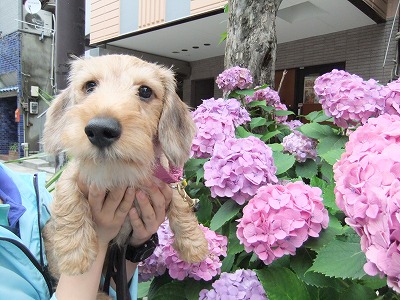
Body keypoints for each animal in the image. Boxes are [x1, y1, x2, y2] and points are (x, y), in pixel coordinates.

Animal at [41, 54, 208, 278]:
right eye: (90, 85)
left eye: (145, 91)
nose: (100, 130)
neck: (120, 170)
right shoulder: (73, 174)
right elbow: (69, 199)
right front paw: (75, 254)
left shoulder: (166, 182)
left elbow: (180, 202)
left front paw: (194, 243)